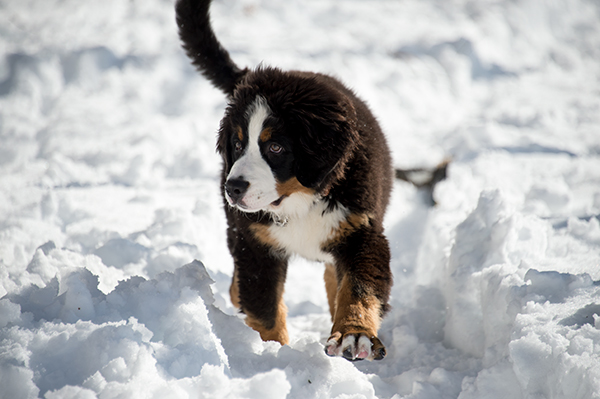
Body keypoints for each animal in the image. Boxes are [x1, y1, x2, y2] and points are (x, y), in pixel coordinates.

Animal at [177, 0, 394, 362]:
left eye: (275, 147)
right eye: (237, 144)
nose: (233, 188)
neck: (300, 201)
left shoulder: (360, 230)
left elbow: (359, 287)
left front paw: (354, 333)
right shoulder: (256, 242)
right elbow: (264, 305)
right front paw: (276, 352)